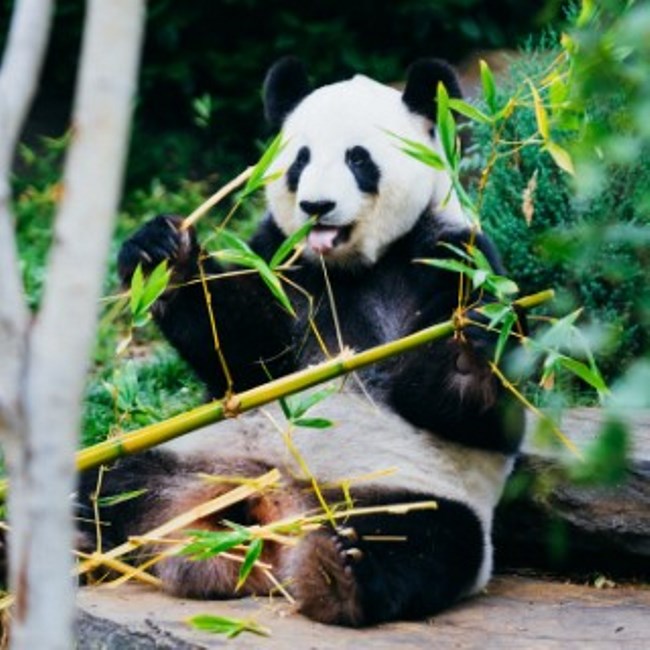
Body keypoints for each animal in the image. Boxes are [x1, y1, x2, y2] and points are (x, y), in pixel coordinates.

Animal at [78, 58, 524, 624]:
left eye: (358, 158)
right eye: (301, 159)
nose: (316, 206)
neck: (350, 266)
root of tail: (273, 512)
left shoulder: (454, 256)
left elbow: (484, 413)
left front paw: (467, 346)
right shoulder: (281, 261)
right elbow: (245, 355)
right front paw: (163, 254)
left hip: (407, 492)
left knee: (424, 539)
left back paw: (342, 570)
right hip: (185, 456)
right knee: (109, 485)